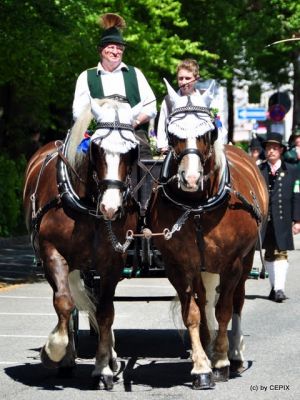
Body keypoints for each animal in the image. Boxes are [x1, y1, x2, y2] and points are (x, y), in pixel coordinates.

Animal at [22, 98, 141, 390]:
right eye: (97, 148)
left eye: (132, 150)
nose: (110, 207)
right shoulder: (52, 253)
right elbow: (64, 302)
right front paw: (53, 351)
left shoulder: (112, 261)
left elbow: (106, 312)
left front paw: (103, 367)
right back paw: (67, 358)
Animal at [146, 79, 268, 390]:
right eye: (172, 133)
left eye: (207, 132)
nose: (190, 179)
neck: (197, 207)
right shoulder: (178, 265)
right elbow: (192, 313)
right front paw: (202, 366)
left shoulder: (232, 263)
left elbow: (224, 309)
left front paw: (222, 362)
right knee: (203, 301)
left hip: (245, 260)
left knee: (237, 300)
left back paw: (234, 354)